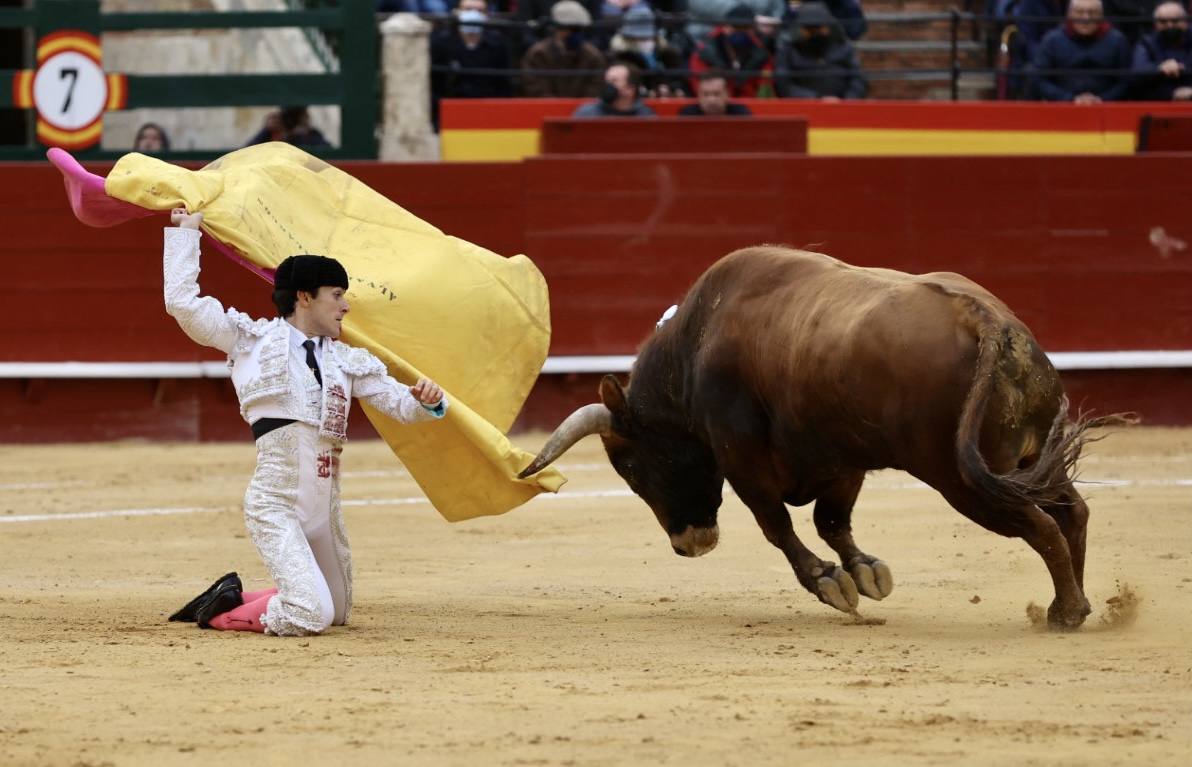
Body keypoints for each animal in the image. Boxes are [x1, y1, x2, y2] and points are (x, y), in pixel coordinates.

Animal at [522, 245, 1106, 629]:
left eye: (633, 467)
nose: (688, 545)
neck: (694, 348)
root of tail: (987, 321)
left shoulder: (741, 457)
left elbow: (777, 524)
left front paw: (829, 583)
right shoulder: (842, 460)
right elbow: (831, 521)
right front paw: (864, 573)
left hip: (961, 478)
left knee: (1040, 525)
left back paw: (1065, 611)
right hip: (1027, 461)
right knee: (1072, 512)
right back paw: (1078, 604)